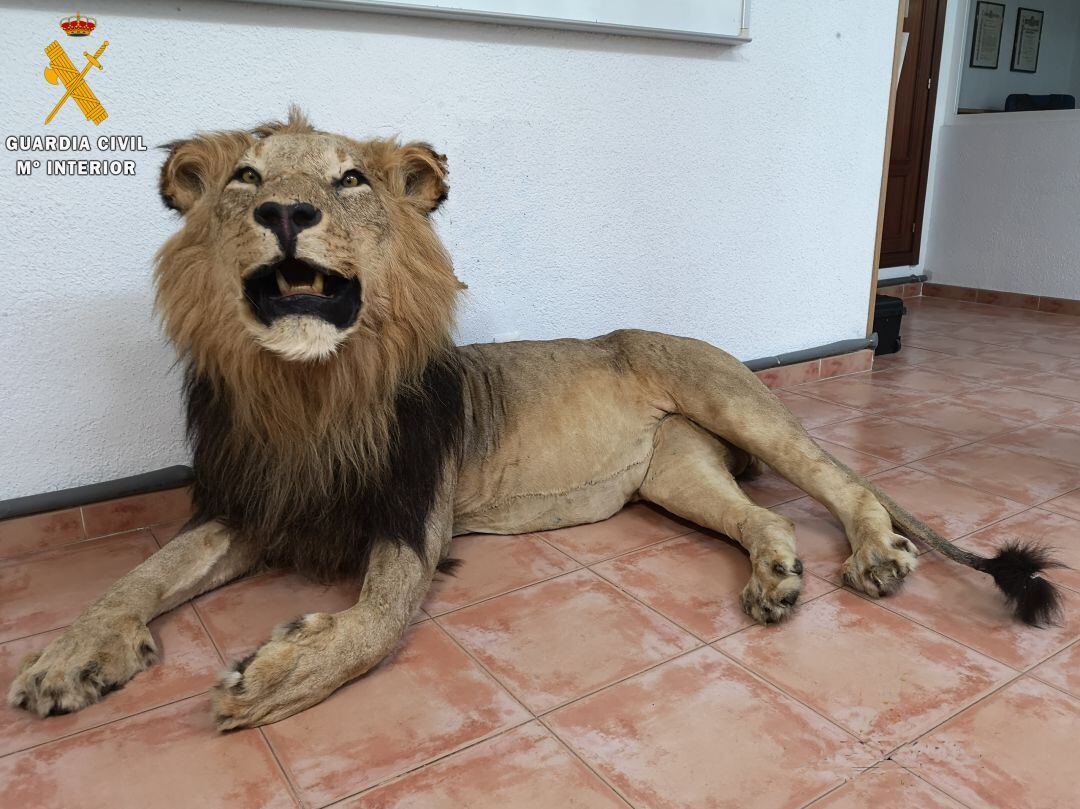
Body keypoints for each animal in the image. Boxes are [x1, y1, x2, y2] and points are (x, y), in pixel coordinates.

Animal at [9, 109, 1062, 730]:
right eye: (245, 178)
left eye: (351, 180)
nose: (287, 212)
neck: (310, 389)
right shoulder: (250, 505)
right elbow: (137, 576)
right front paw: (70, 656)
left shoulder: (413, 517)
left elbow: (377, 621)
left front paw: (271, 674)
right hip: (675, 472)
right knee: (763, 517)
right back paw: (775, 580)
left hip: (734, 402)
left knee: (844, 482)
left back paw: (878, 554)